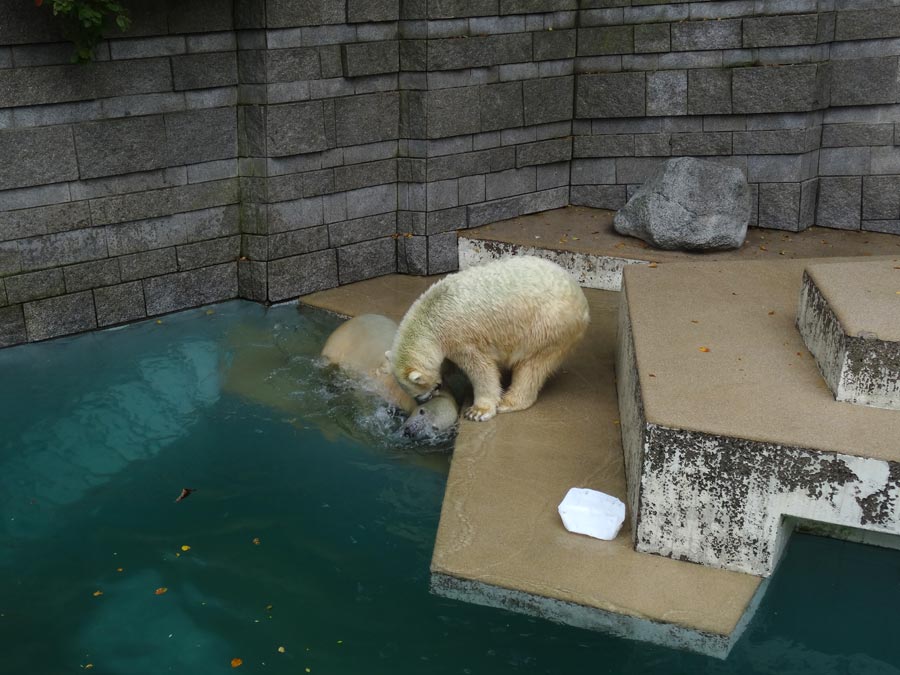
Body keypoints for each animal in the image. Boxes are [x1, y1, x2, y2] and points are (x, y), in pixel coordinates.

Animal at [388, 256, 592, 420]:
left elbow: (481, 369)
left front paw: (478, 411)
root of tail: (581, 300)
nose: (423, 400)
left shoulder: (461, 336)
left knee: (533, 365)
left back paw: (509, 402)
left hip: (548, 325)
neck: (431, 319)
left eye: (420, 390)